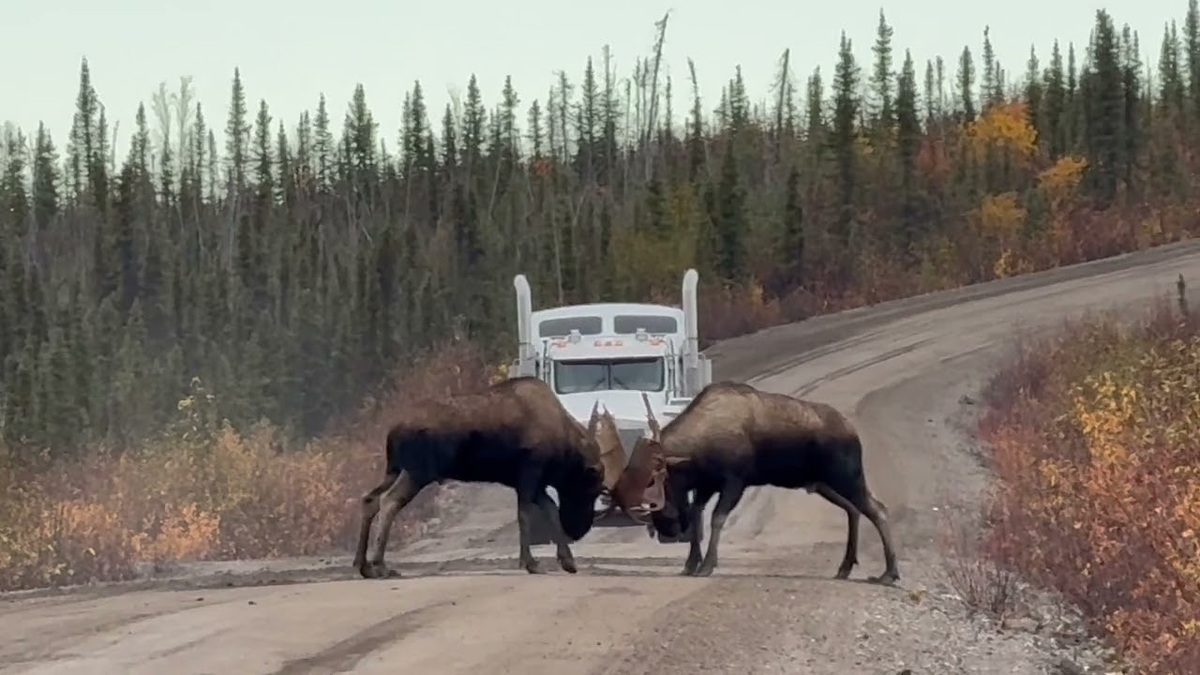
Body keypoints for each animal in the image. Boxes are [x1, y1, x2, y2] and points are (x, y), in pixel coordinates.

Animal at [352, 374, 619, 576]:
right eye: (591, 488)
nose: (578, 530)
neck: (566, 448)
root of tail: (392, 431)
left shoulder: (536, 483)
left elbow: (550, 510)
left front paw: (567, 560)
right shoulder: (529, 476)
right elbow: (525, 515)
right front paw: (530, 562)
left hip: (394, 469)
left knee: (369, 499)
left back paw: (363, 565)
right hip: (416, 473)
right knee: (389, 502)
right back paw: (380, 564)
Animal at [609, 381, 902, 581]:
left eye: (656, 485)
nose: (666, 528)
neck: (696, 451)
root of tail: (853, 432)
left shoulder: (734, 482)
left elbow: (716, 519)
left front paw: (707, 565)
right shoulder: (706, 485)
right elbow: (696, 515)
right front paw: (691, 563)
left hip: (846, 477)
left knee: (878, 509)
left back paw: (889, 572)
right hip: (824, 485)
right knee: (855, 510)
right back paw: (846, 566)